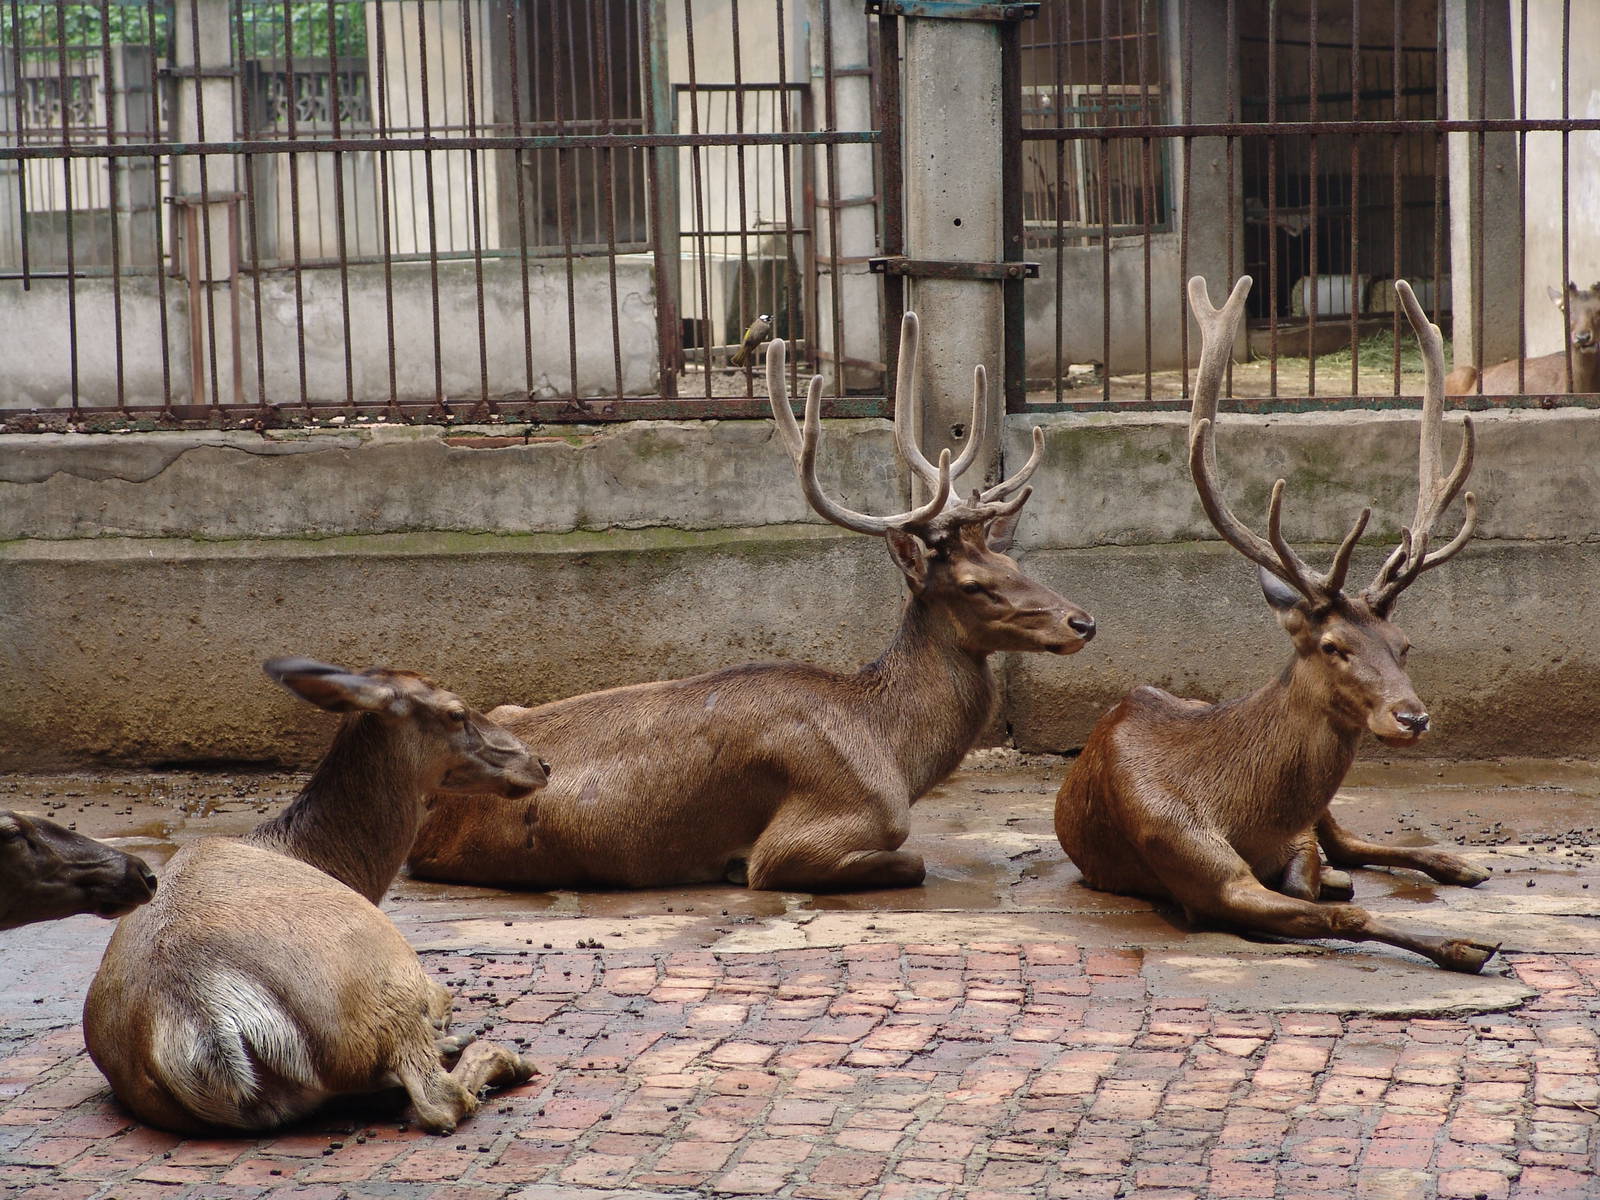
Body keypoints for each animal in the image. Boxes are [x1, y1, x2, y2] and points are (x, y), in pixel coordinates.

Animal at [83, 658, 548, 1135]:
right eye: (456, 711)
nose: (539, 764)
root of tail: (205, 1018)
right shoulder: (420, 982)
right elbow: (445, 998)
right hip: (376, 986)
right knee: (437, 1097)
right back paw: (497, 1056)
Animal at [407, 314, 1096, 893]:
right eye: (973, 584)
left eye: (1012, 564)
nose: (1082, 621)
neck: (893, 751)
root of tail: (429, 820)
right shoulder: (812, 832)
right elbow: (911, 861)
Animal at [1054, 274, 1500, 974]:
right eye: (1333, 645)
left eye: (1404, 644)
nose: (1412, 716)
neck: (1245, 811)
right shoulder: (1199, 866)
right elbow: (1338, 911)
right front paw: (1461, 944)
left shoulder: (1296, 837)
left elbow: (1315, 874)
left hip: (1328, 817)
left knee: (1350, 841)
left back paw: (1459, 862)